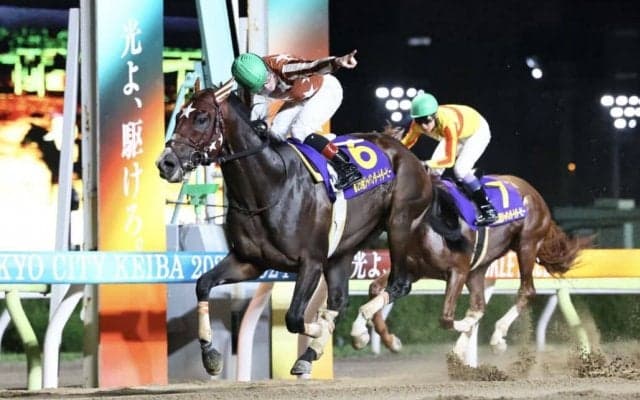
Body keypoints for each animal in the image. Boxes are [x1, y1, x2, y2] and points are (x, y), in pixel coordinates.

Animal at [155, 80, 444, 376]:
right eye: (179, 117)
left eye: (201, 118)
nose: (166, 163)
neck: (271, 186)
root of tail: (406, 153)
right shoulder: (249, 261)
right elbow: (203, 284)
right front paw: (211, 356)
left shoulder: (311, 262)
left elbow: (294, 318)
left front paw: (323, 332)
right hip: (344, 249)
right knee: (340, 299)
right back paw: (315, 350)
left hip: (400, 224)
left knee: (398, 284)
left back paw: (361, 332)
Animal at [351, 174, 586, 363]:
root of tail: (533, 193)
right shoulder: (412, 271)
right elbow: (376, 290)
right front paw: (375, 338)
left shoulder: (458, 270)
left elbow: (446, 318)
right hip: (479, 267)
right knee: (480, 305)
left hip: (527, 245)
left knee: (526, 291)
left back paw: (496, 338)